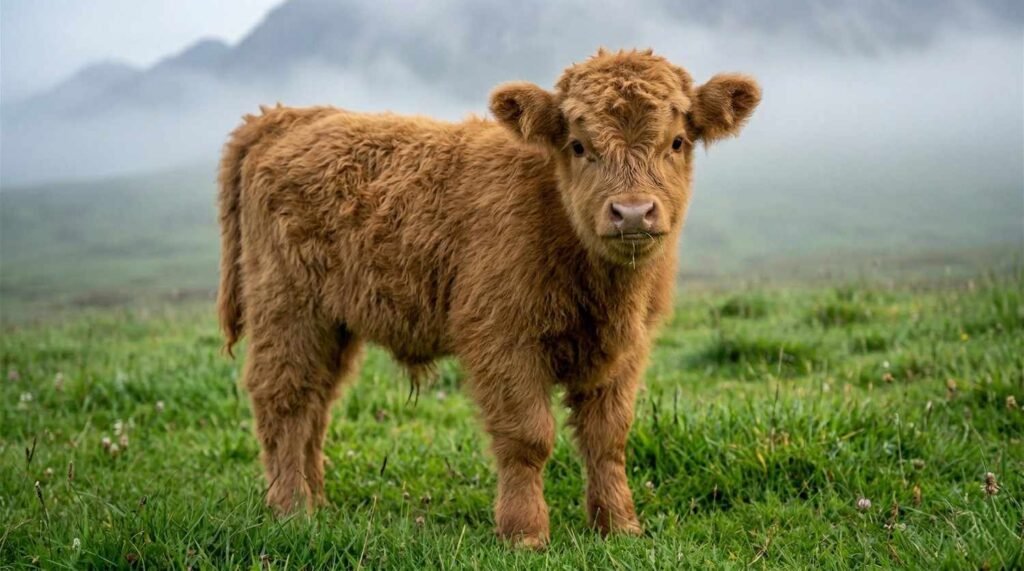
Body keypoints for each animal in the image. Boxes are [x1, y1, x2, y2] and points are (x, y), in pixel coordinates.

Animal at [217, 48, 760, 548]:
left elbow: (608, 437)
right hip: (287, 307)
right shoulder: (502, 338)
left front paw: (619, 526)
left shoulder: (627, 349)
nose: (631, 213)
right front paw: (525, 533)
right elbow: (528, 437)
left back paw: (319, 504)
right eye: (579, 145)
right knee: (284, 399)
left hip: (334, 323)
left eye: (677, 141)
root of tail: (290, 115)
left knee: (316, 404)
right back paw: (291, 510)